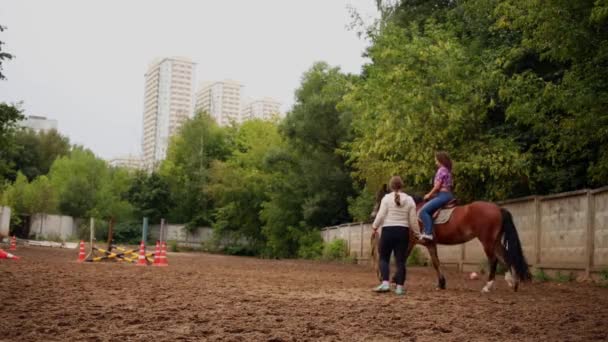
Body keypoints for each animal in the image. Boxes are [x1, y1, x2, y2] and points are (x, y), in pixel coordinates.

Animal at [368, 186, 528, 292]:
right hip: (495, 241)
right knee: (505, 257)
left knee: (494, 260)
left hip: (487, 241)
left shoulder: (412, 241)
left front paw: (395, 279)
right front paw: (441, 283)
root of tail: (498, 208)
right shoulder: (430, 244)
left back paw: (488, 286)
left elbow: (403, 258)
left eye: (380, 198)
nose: (372, 215)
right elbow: (436, 262)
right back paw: (513, 283)